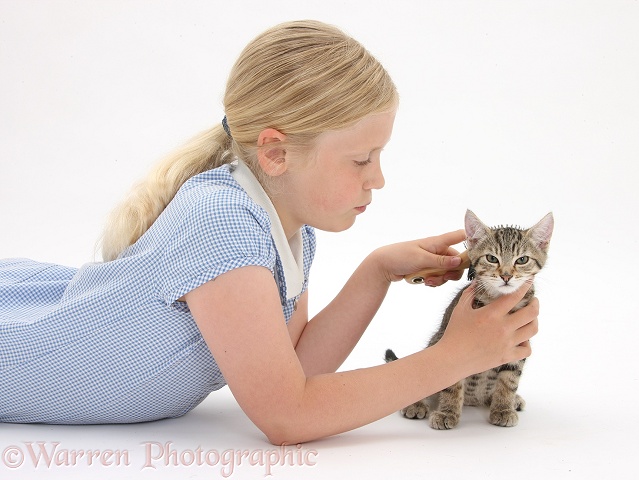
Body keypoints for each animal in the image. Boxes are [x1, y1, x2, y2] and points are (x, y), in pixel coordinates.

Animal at [384, 210, 556, 432]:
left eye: (522, 259)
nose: (506, 276)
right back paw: (416, 405)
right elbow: (452, 380)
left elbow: (509, 381)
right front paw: (447, 412)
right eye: (491, 258)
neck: (498, 301)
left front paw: (503, 408)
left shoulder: (519, 344)